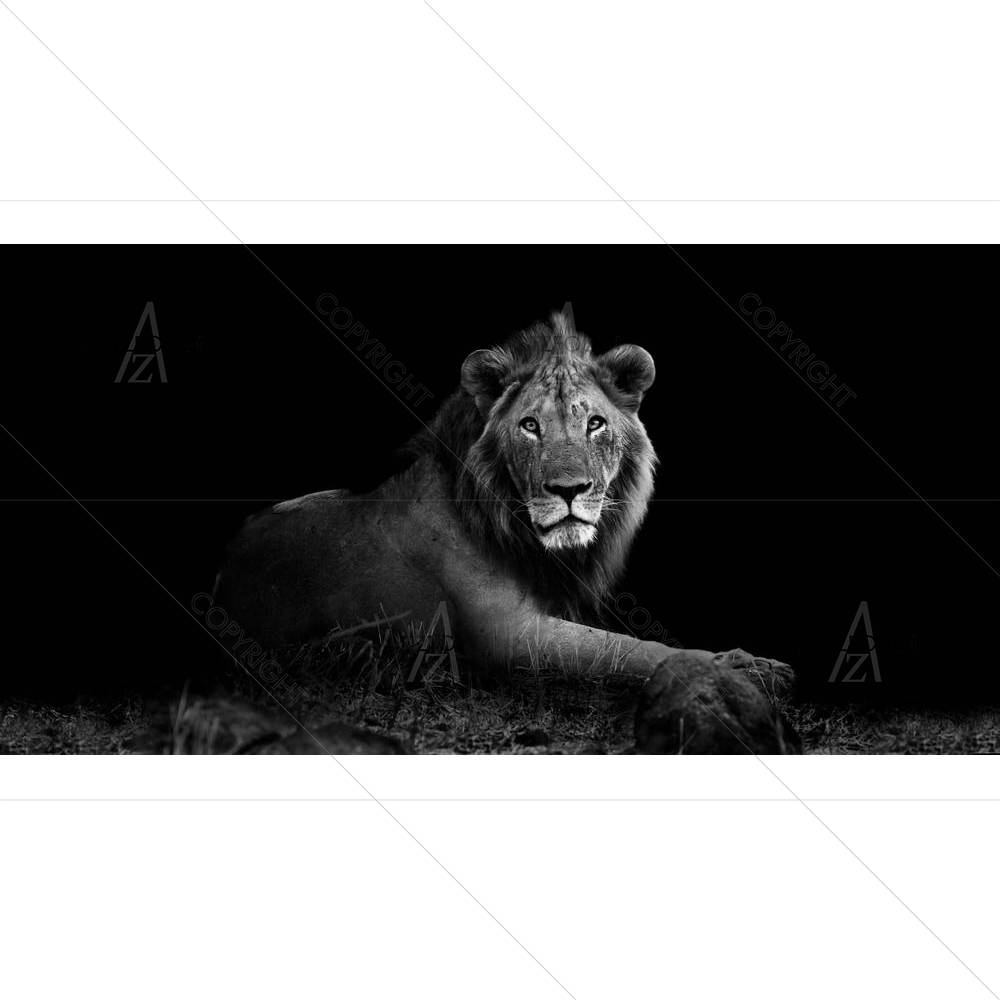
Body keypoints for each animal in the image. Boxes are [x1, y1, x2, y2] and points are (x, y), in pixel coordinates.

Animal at [214, 306, 792, 743]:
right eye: (530, 426)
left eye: (595, 423)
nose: (568, 490)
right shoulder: (505, 635)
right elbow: (627, 650)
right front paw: (747, 667)